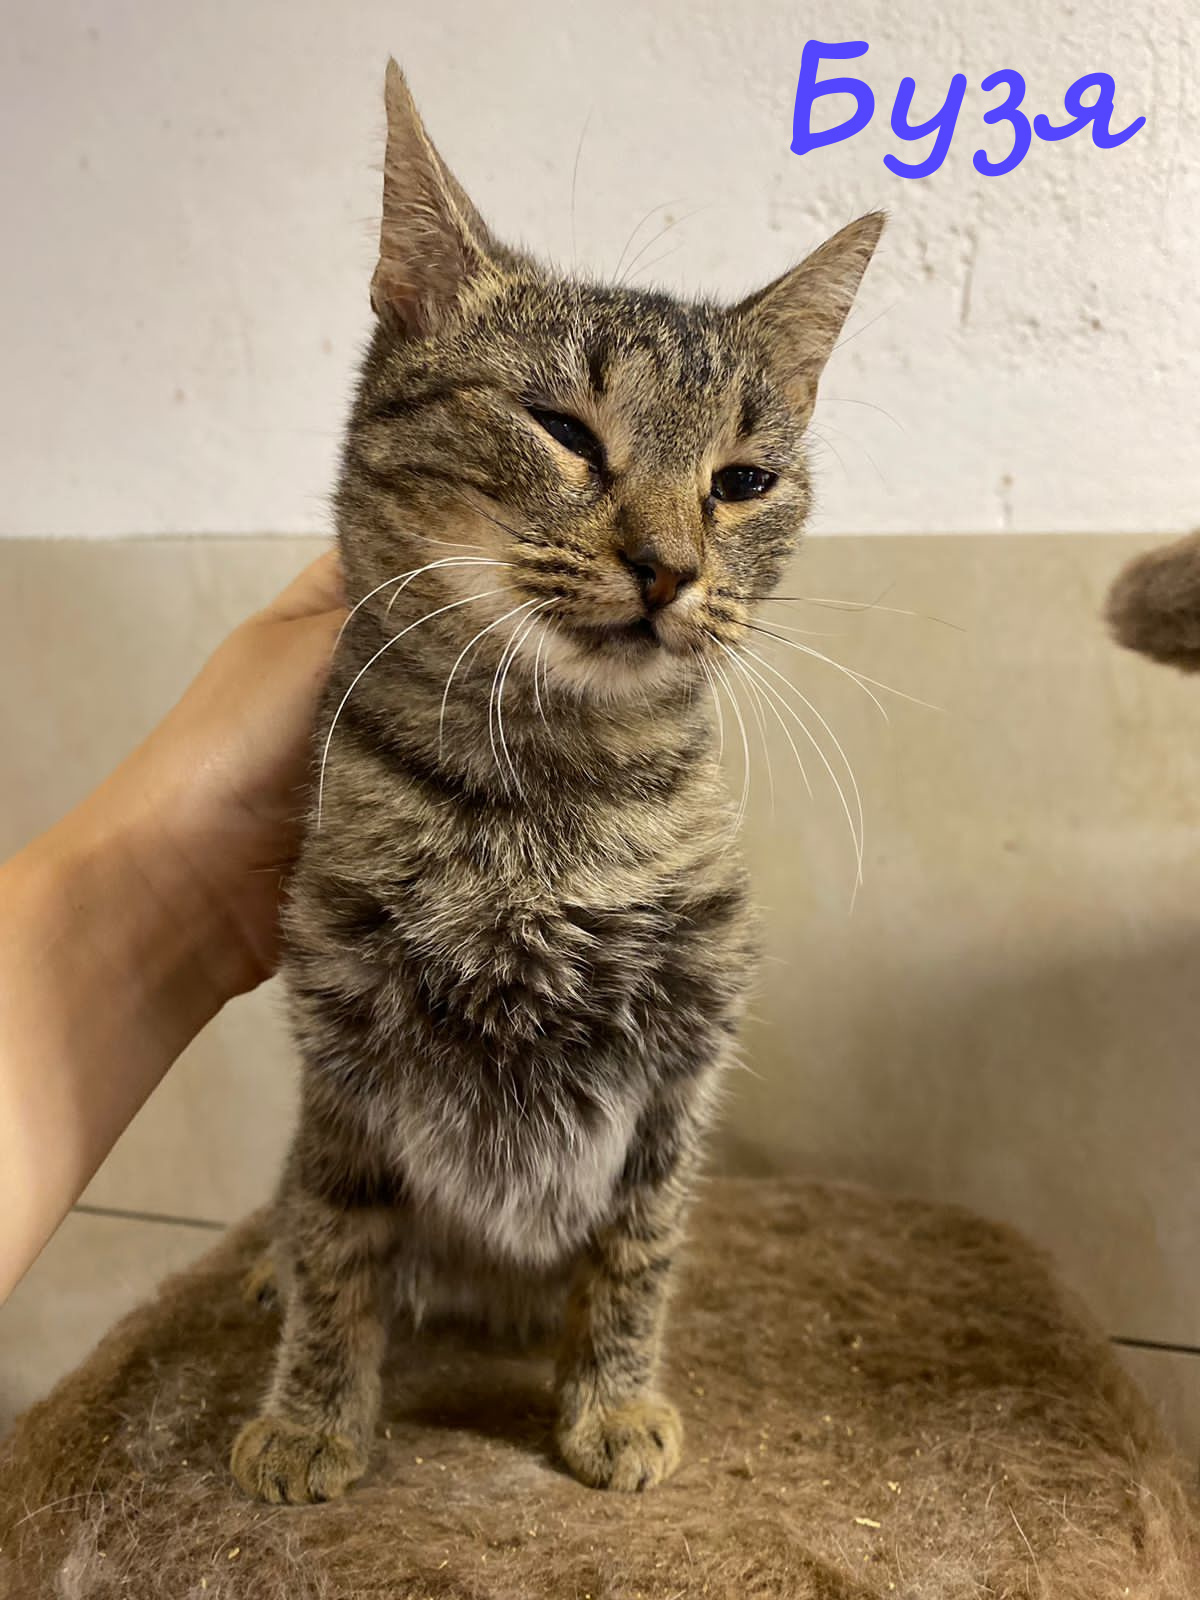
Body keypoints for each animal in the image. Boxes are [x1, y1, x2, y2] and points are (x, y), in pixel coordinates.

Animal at [230, 59, 882, 1505]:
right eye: (564, 431)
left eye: (741, 481)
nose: (669, 567)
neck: (547, 799)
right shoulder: (341, 1040)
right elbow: (336, 1239)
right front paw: (311, 1413)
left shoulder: (681, 1057)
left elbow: (637, 1251)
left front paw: (614, 1401)